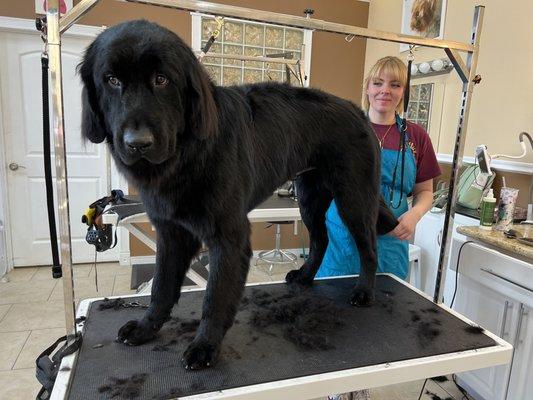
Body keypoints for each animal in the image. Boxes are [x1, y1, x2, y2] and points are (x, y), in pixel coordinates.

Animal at [78, 18, 394, 368]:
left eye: (161, 80)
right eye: (112, 80)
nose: (138, 143)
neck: (187, 156)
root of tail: (358, 111)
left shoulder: (228, 236)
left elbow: (215, 297)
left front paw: (205, 346)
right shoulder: (171, 232)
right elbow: (161, 287)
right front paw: (146, 328)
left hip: (353, 198)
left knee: (369, 247)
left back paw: (364, 292)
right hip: (310, 199)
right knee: (320, 240)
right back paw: (305, 277)